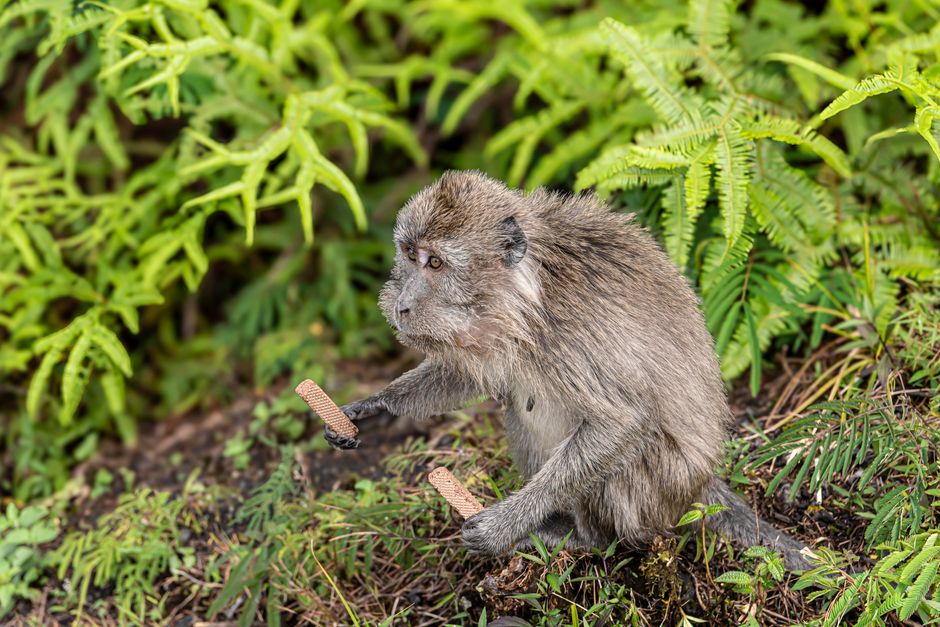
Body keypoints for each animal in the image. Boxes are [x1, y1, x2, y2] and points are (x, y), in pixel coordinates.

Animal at [324, 170, 811, 571]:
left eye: (437, 263)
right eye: (409, 254)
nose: (402, 306)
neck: (526, 296)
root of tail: (701, 484)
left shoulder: (571, 337)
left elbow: (621, 423)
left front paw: (502, 526)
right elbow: (468, 374)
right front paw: (373, 406)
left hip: (658, 493)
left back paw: (581, 539)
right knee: (521, 408)